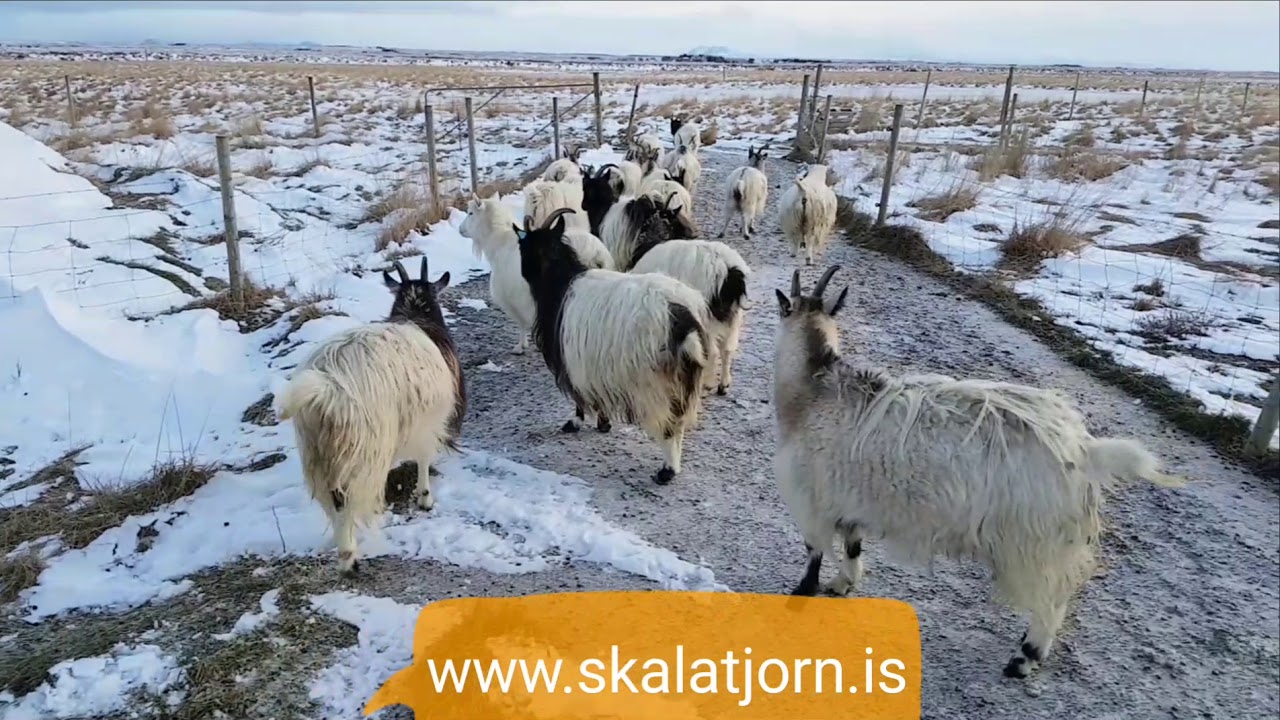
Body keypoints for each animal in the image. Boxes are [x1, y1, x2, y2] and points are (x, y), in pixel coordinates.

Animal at [277, 256, 466, 575]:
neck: (417, 317)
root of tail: (326, 388)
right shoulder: (427, 423)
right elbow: (424, 459)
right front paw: (425, 499)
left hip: (317, 452)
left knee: (333, 499)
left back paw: (342, 549)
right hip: (361, 447)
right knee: (347, 499)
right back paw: (350, 557)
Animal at [460, 197, 612, 354]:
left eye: (470, 213)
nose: (460, 229)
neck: (500, 242)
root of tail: (594, 252)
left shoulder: (512, 300)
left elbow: (521, 322)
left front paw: (520, 346)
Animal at [516, 211, 710, 485]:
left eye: (523, 246)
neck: (561, 283)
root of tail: (683, 321)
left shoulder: (573, 361)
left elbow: (580, 397)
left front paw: (575, 423)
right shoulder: (591, 364)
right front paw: (603, 423)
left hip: (655, 381)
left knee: (669, 423)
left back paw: (665, 471)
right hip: (686, 374)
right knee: (679, 420)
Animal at [630, 239, 750, 395]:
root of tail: (728, 271)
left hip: (706, 318)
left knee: (712, 352)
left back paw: (707, 384)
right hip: (732, 318)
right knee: (727, 350)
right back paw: (723, 385)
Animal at [772, 266, 1184, 678]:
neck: (814, 391)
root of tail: (1085, 451)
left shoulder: (810, 496)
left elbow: (814, 549)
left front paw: (799, 596)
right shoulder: (848, 497)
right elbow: (853, 542)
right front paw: (843, 583)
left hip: (1034, 543)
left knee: (1052, 597)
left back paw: (1025, 657)